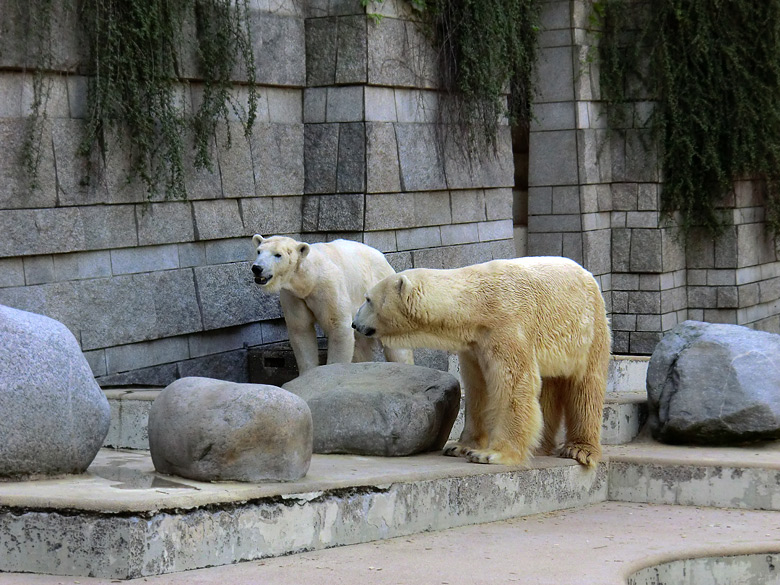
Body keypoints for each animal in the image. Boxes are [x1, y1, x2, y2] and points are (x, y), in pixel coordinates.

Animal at [253, 234, 418, 374]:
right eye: (258, 251)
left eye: (278, 254)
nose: (257, 268)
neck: (309, 279)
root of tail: (384, 259)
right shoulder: (294, 296)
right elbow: (301, 329)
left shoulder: (327, 286)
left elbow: (338, 326)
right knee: (361, 344)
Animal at [350, 256, 612, 466]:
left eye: (368, 299)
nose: (354, 323)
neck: (475, 304)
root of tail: (588, 274)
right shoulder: (474, 343)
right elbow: (478, 388)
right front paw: (460, 446)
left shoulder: (507, 327)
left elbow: (514, 385)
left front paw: (492, 454)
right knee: (549, 385)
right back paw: (539, 445)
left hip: (587, 331)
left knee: (586, 386)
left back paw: (579, 449)